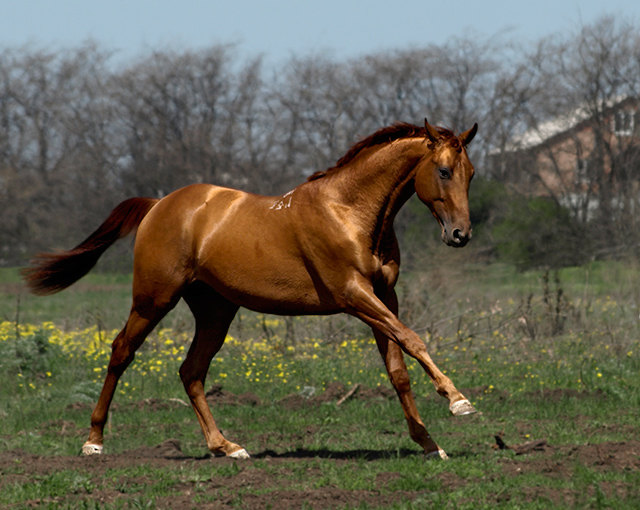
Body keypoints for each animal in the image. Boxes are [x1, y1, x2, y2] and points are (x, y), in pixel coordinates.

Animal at [22, 117, 478, 460]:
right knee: (121, 352)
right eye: (443, 171)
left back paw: (225, 446)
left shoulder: (383, 297)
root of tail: (158, 205)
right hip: (153, 300)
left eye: (471, 174)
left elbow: (398, 369)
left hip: (215, 311)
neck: (349, 211)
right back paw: (93, 441)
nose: (461, 235)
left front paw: (429, 443)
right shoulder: (354, 295)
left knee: (191, 370)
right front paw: (458, 401)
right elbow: (413, 340)